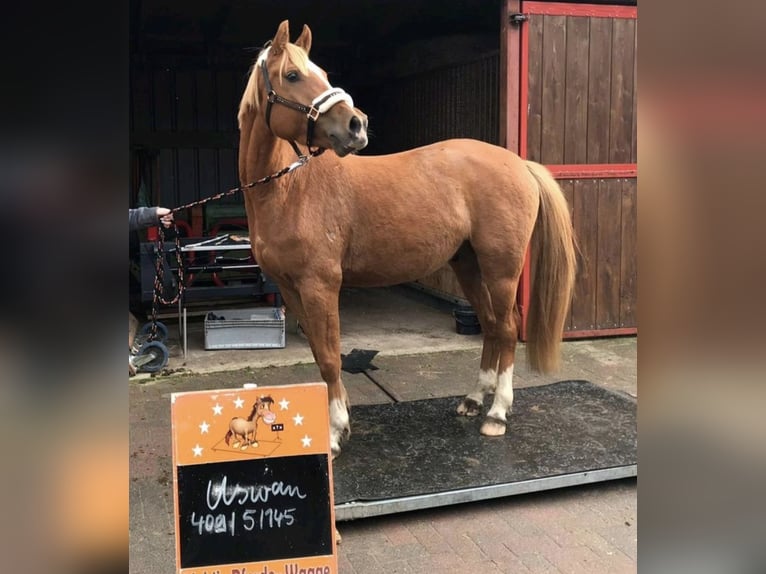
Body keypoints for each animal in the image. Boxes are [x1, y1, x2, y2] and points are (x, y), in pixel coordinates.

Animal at [237, 20, 576, 459]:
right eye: (293, 76)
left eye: (323, 74)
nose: (357, 125)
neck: (289, 189)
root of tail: (518, 162)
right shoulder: (291, 288)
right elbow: (318, 352)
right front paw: (340, 418)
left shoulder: (320, 285)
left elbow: (329, 357)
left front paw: (335, 432)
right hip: (467, 265)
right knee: (489, 325)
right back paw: (473, 400)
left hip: (501, 269)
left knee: (505, 328)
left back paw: (497, 413)